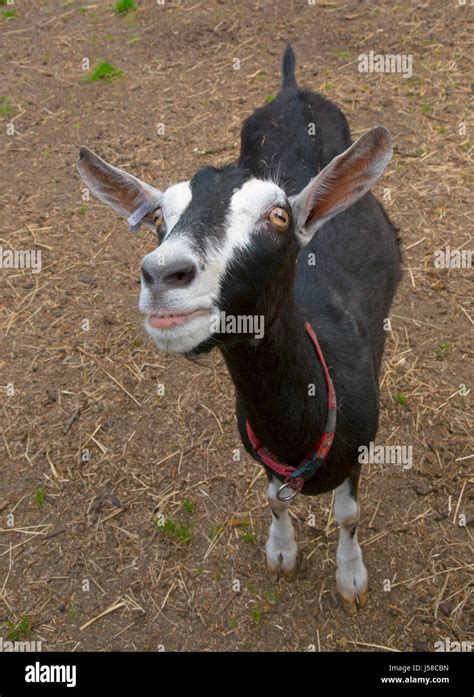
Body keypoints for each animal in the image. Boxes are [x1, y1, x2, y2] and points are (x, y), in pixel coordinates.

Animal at [77, 47, 400, 616]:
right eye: (158, 219)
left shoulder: (359, 447)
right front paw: (282, 552)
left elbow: (348, 515)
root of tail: (291, 90)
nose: (162, 274)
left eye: (278, 216)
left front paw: (351, 577)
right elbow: (273, 498)